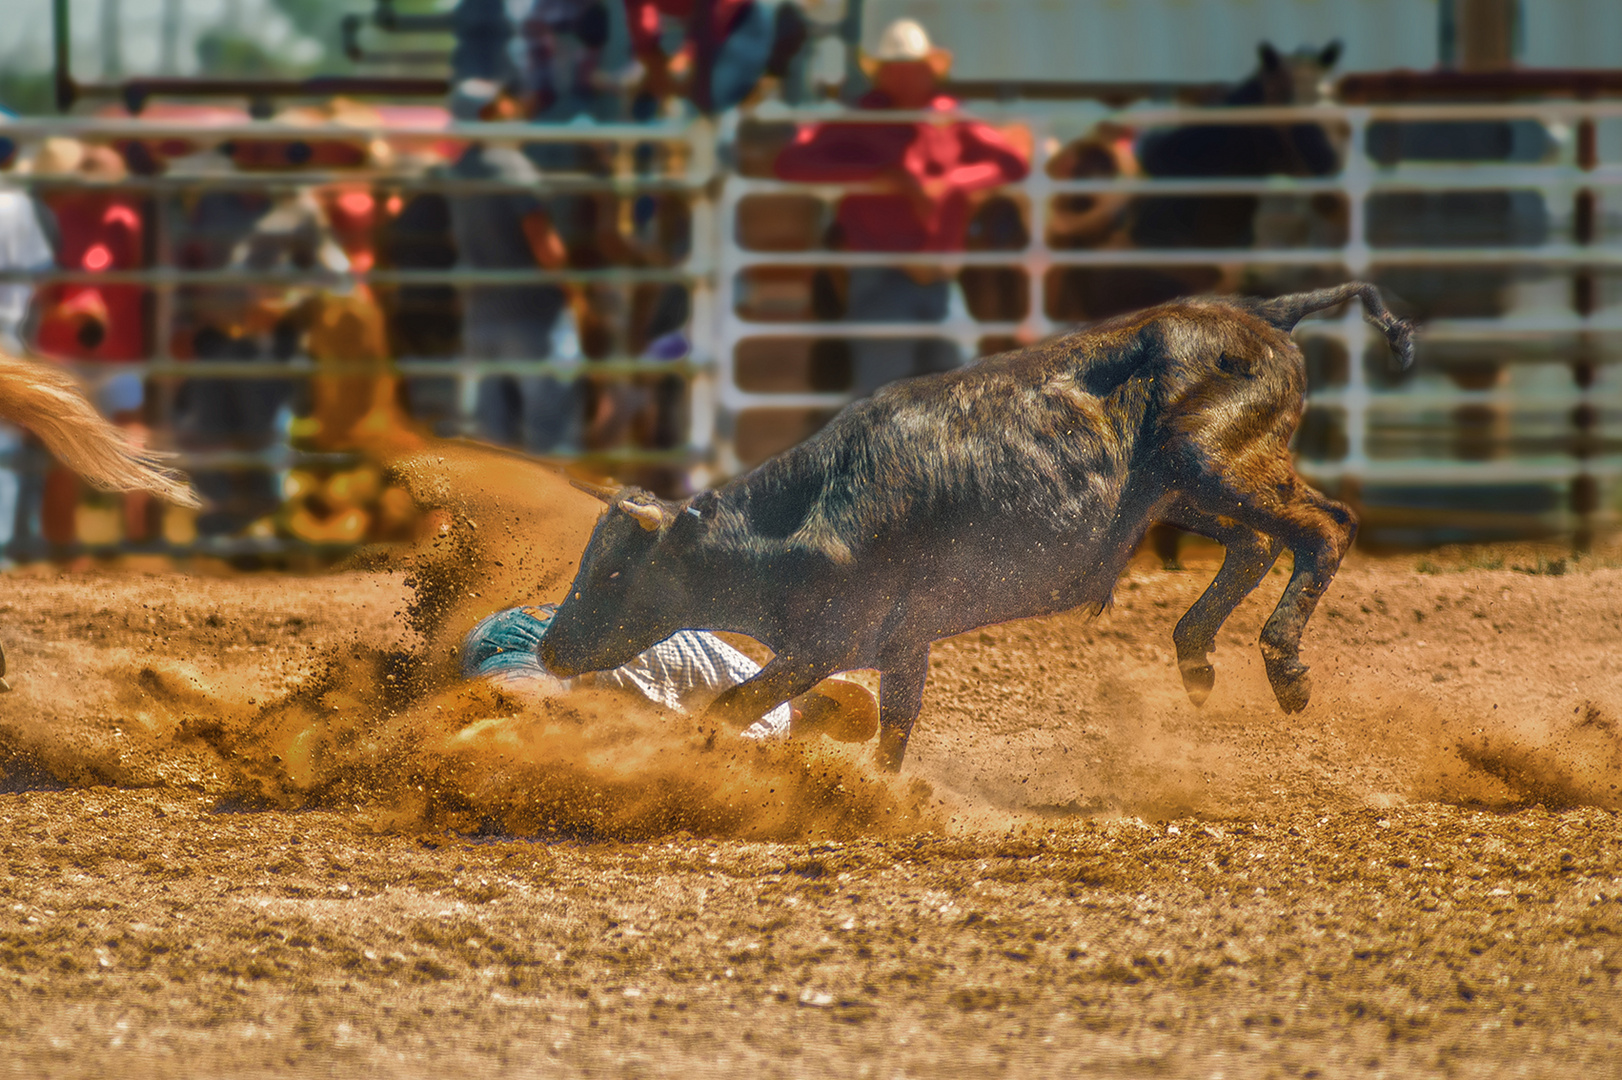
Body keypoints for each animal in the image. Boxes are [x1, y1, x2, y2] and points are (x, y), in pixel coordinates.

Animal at [538, 277, 1414, 765]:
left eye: (612, 571)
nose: (549, 648)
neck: (814, 516)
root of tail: (1264, 313)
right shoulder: (903, 643)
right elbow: (896, 727)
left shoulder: (824, 642)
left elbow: (729, 708)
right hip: (1188, 490)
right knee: (1259, 543)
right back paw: (1197, 655)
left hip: (1214, 462)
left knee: (1325, 527)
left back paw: (1283, 665)